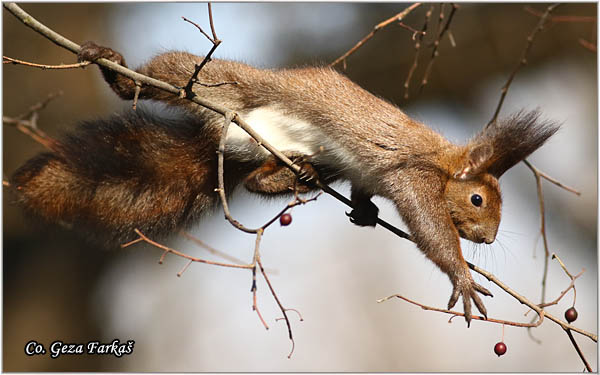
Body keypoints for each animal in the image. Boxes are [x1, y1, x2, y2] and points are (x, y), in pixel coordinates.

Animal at [9, 41, 560, 326]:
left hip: (296, 155)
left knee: (257, 181)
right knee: (168, 71)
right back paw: (117, 71)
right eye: (477, 199)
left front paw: (366, 213)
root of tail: (223, 134)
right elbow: (430, 228)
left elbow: (365, 191)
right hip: (217, 83)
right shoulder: (414, 178)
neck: (444, 164)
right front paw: (463, 276)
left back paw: (295, 174)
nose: (487, 238)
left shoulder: (365, 173)